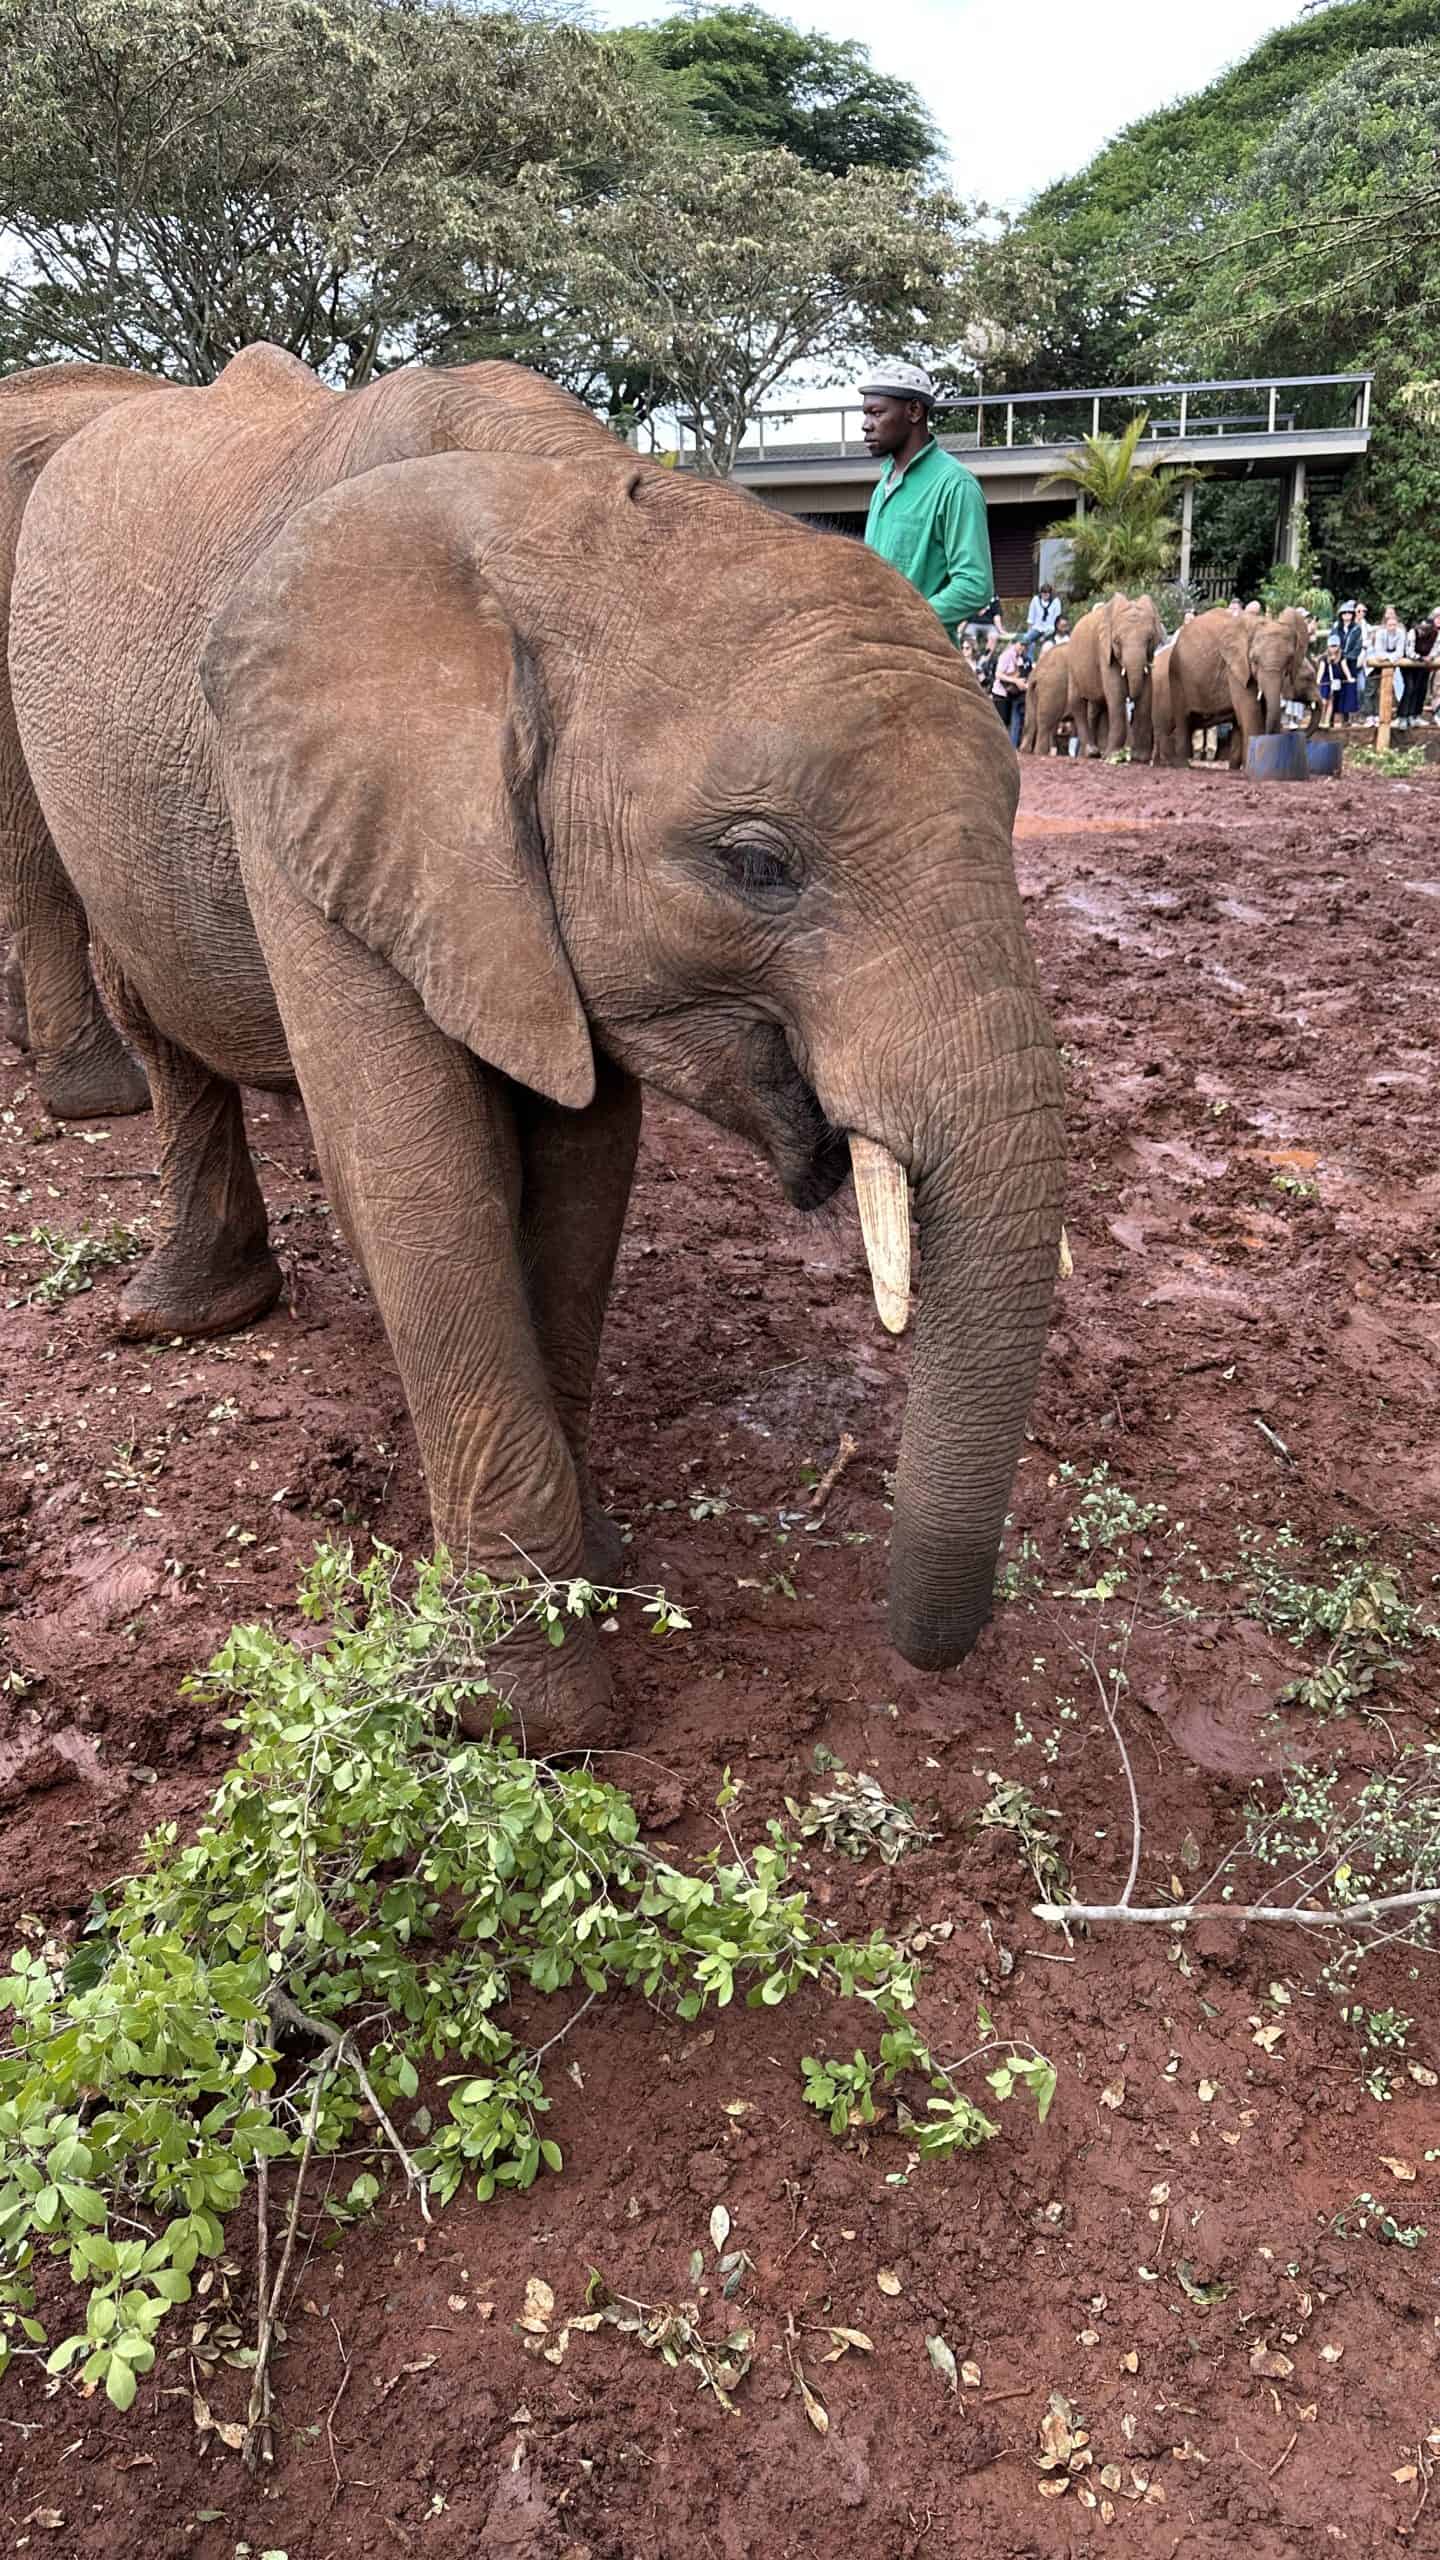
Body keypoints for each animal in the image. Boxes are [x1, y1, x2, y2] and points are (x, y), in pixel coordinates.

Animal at [7, 345, 1065, 1743]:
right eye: (756, 865)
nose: (916, 1658)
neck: (570, 519)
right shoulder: (311, 799)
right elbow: (424, 1178)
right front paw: (533, 1718)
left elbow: (580, 1175)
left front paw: (594, 1569)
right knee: (157, 1011)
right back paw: (184, 1314)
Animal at [1065, 592, 1166, 759]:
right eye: (1117, 641)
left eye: (1150, 639)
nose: (1130, 700)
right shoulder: (1104, 651)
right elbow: (1116, 693)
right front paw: (1114, 756)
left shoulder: (1149, 657)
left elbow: (1146, 694)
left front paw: (1140, 758)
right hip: (1073, 665)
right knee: (1077, 703)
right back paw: (1092, 752)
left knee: (1097, 706)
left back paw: (1094, 753)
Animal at [1161, 607, 1313, 768]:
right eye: (1254, 660)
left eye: (1289, 660)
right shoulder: (1235, 667)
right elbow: (1250, 710)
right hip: (1176, 675)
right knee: (1183, 719)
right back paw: (1184, 764)